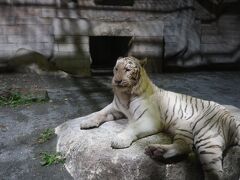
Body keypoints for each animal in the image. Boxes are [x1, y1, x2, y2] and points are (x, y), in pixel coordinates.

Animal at [80, 56, 240, 179]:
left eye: (127, 69)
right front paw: (86, 121)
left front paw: (120, 139)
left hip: (207, 139)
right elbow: (99, 112)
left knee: (215, 173)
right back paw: (157, 151)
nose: (117, 81)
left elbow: (132, 126)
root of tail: (230, 117)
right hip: (185, 129)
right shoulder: (115, 108)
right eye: (116, 69)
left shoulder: (149, 119)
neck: (126, 95)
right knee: (184, 146)